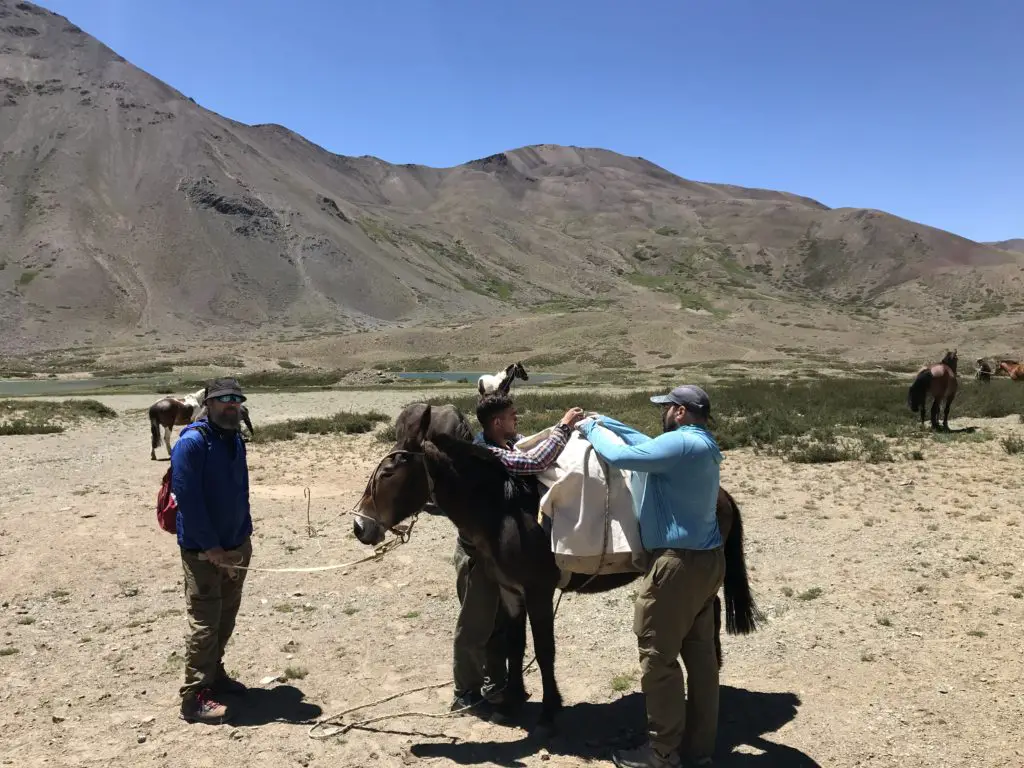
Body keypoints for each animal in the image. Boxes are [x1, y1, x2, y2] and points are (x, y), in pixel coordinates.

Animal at [352, 403, 761, 733]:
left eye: (388, 473)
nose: (360, 526)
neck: (503, 509)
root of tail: (723, 495)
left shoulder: (538, 592)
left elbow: (544, 649)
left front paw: (549, 712)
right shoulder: (511, 591)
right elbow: (515, 645)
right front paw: (512, 700)